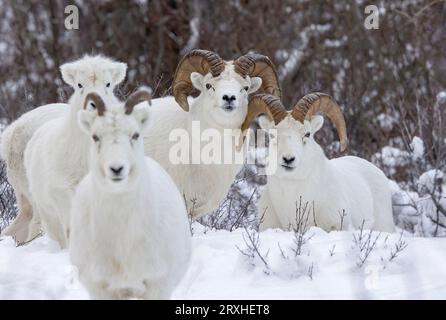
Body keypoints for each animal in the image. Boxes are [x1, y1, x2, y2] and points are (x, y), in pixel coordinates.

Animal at [69, 89, 190, 300]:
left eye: (135, 134)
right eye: (95, 136)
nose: (117, 169)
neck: (122, 240)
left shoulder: (157, 286)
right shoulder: (101, 289)